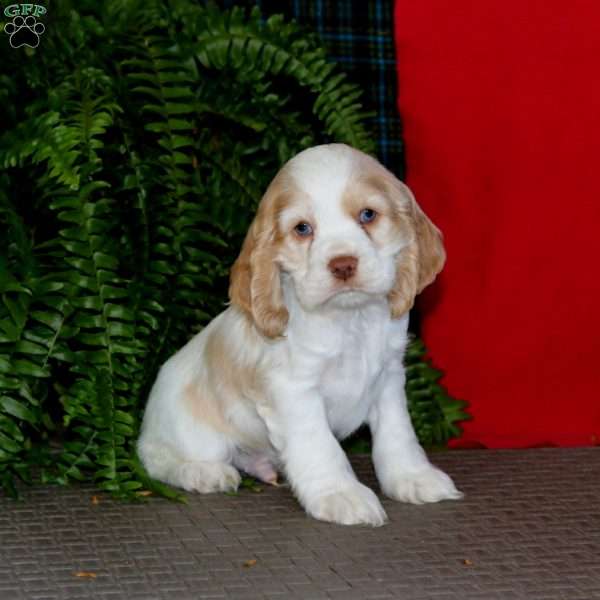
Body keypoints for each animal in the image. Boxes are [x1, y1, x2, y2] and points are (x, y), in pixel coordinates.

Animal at [137, 142, 464, 524]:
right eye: (303, 228)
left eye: (368, 215)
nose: (343, 265)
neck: (349, 320)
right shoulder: (296, 391)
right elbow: (321, 445)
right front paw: (341, 495)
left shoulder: (388, 379)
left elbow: (398, 434)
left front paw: (413, 478)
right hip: (191, 433)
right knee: (156, 458)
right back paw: (203, 472)